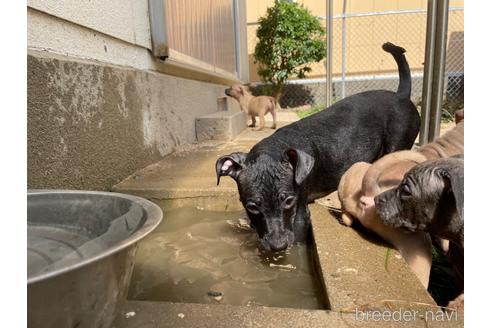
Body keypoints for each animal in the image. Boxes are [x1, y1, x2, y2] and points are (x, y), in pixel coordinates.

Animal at [217, 43, 420, 251]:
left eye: (289, 201)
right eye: (252, 206)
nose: (278, 245)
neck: (275, 146)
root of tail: (401, 96)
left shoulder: (299, 219)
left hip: (397, 145)